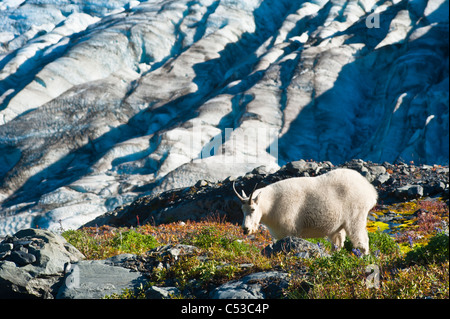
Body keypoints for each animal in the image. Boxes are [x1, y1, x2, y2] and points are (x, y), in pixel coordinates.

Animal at [234, 169, 378, 256]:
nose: (245, 229)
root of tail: (370, 191)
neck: (270, 205)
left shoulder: (290, 230)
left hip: (356, 217)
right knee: (338, 242)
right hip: (338, 225)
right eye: (241, 210)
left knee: (361, 240)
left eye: (253, 209)